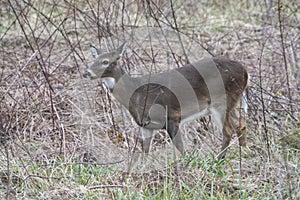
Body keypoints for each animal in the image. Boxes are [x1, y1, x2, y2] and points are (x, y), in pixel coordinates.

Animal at [82, 42, 248, 159]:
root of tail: (245, 72)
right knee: (241, 125)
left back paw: (218, 159)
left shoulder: (172, 116)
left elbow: (181, 148)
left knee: (228, 130)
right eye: (94, 60)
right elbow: (145, 151)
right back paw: (243, 152)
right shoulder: (146, 125)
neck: (135, 93)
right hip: (232, 102)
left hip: (220, 101)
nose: (86, 72)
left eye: (105, 61)